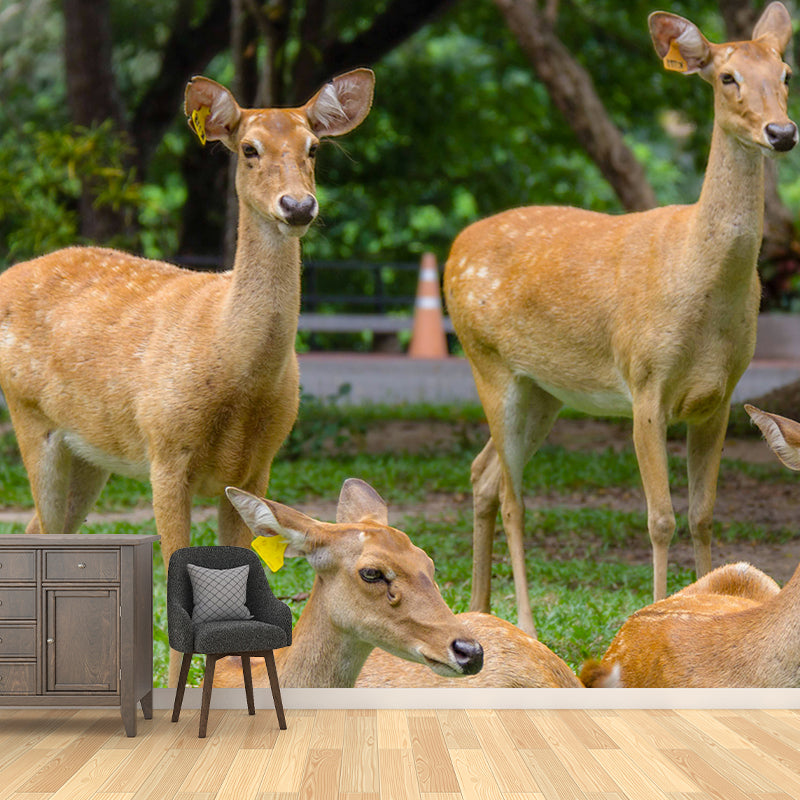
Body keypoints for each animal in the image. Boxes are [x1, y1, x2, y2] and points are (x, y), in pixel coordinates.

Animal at [0, 69, 375, 685]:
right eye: (249, 149)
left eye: (313, 148)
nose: (298, 205)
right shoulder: (165, 449)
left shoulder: (258, 465)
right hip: (31, 418)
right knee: (44, 529)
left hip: (90, 453)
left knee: (38, 531)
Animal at [443, 2, 797, 638]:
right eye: (726, 78)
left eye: (785, 74)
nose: (782, 133)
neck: (701, 285)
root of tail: (454, 249)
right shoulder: (645, 382)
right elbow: (660, 519)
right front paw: (651, 616)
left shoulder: (722, 396)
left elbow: (703, 515)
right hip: (488, 361)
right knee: (510, 495)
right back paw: (525, 625)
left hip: (544, 389)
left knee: (482, 474)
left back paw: (481, 610)